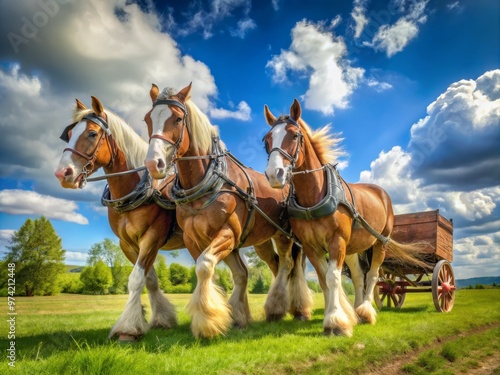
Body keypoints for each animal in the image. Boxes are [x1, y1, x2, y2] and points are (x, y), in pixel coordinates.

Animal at [54, 96, 252, 340]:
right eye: (70, 133)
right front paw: (160, 319)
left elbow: (136, 279)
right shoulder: (127, 243)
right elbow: (149, 280)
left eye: (91, 133)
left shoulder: (152, 236)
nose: (63, 173)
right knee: (241, 272)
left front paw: (127, 329)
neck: (136, 188)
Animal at [143, 83, 312, 340]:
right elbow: (213, 271)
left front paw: (207, 322)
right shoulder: (194, 238)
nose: (154, 164)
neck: (209, 181)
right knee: (273, 266)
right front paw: (231, 316)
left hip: (285, 236)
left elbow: (205, 267)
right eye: (148, 119)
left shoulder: (228, 233)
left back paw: (293, 309)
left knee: (289, 265)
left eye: (178, 119)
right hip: (262, 241)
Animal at [262, 100, 426, 338]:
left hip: (380, 242)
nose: (275, 174)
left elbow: (333, 277)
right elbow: (324, 280)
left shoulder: (337, 240)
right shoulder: (311, 246)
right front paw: (340, 316)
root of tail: (381, 193)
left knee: (373, 275)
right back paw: (357, 311)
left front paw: (335, 322)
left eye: (294, 135)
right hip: (353, 247)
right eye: (266, 140)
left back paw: (366, 310)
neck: (313, 197)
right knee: (358, 277)